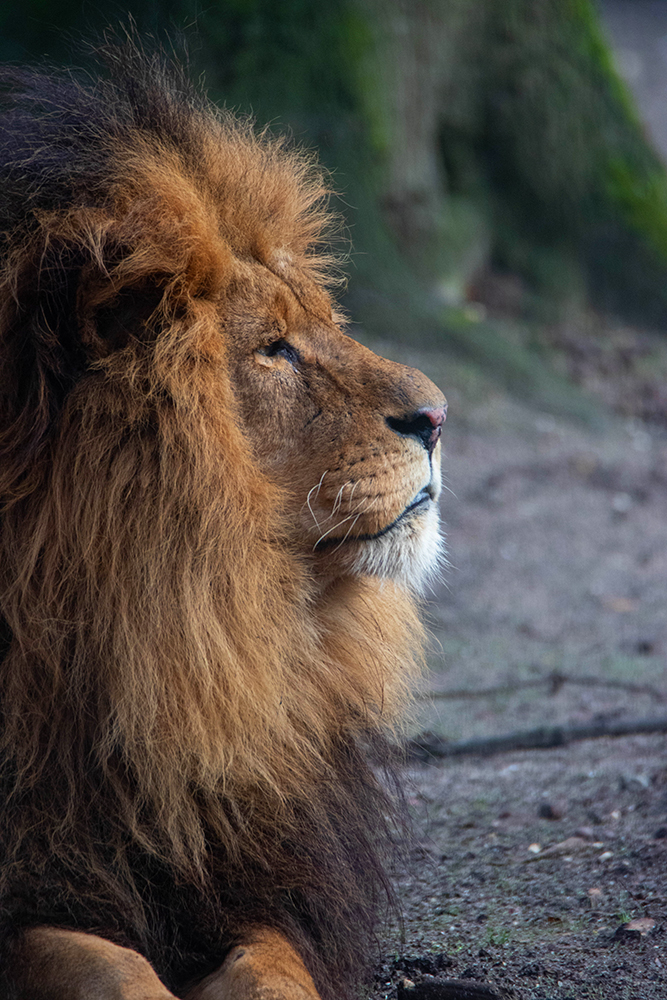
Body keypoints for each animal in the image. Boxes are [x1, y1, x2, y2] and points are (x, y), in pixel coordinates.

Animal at [1, 35, 448, 996]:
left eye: (323, 324)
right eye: (272, 349)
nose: (437, 417)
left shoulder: (259, 871)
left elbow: (274, 967)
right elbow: (100, 962)